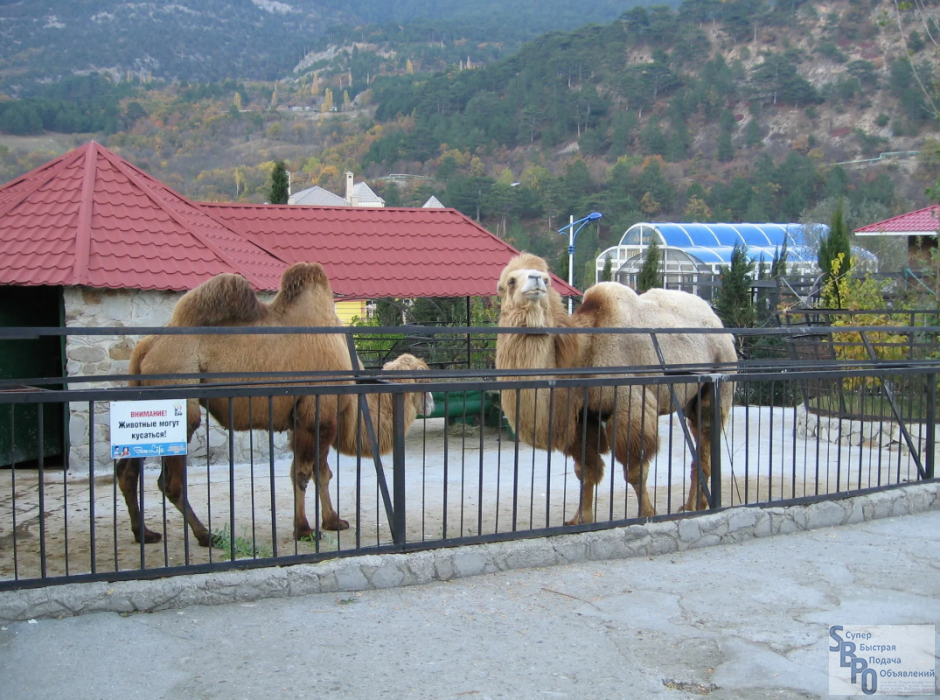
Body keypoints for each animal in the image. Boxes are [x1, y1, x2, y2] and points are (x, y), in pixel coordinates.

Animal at [114, 262, 434, 548]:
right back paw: (207, 536)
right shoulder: (316, 415)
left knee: (127, 472)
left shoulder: (312, 419)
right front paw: (305, 530)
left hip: (141, 397)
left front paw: (333, 521)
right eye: (423, 379)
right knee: (170, 482)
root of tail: (145, 349)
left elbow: (322, 473)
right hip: (180, 396)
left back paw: (145, 533)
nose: (431, 404)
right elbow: (303, 474)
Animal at [496, 254, 740, 524]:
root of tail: (719, 323)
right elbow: (586, 470)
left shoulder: (630, 404)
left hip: (719, 382)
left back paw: (695, 506)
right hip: (690, 400)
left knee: (706, 438)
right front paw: (580, 519)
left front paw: (647, 513)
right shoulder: (583, 416)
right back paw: (692, 505)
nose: (536, 279)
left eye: (547, 280)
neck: (583, 354)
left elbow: (635, 470)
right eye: (510, 281)